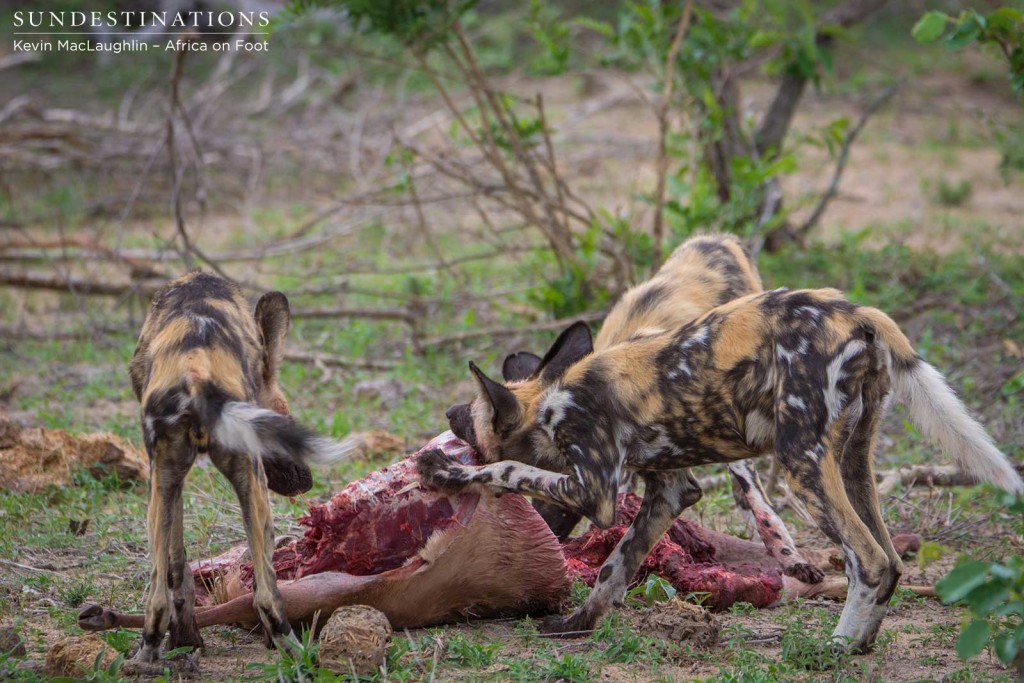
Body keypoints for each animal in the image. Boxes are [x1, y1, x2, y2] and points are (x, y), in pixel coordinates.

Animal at [117, 272, 352, 667]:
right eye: (284, 421)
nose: (306, 482)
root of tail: (195, 369)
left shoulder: (169, 482)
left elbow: (178, 570)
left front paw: (185, 640)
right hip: (247, 490)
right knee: (266, 592)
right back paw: (292, 650)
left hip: (164, 490)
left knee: (160, 597)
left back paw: (147, 655)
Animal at [419, 286, 1019, 651]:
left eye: (471, 414)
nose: (448, 413)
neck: (552, 402)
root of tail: (856, 312)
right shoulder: (669, 493)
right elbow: (615, 569)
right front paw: (576, 625)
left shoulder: (595, 490)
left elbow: (509, 471)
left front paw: (445, 473)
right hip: (853, 463)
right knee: (891, 560)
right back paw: (862, 644)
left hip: (800, 467)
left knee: (868, 561)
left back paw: (835, 649)